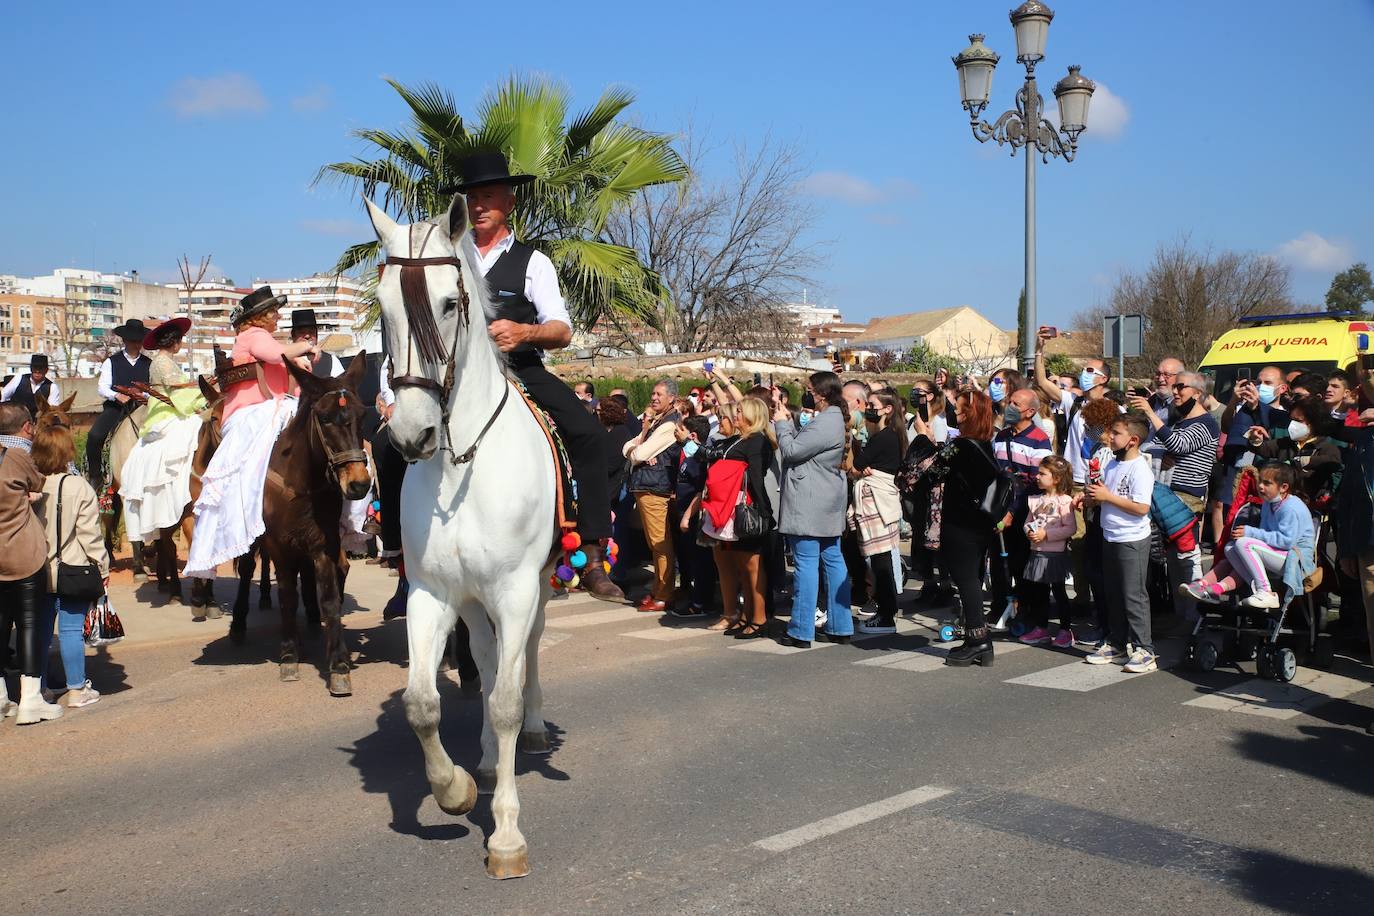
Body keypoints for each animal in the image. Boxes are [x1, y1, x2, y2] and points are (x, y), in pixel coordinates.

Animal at [222, 354, 376, 694]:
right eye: (325, 418)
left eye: (361, 414)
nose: (359, 484)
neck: (303, 482)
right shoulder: (280, 547)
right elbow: (287, 597)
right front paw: (289, 655)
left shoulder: (323, 543)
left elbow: (330, 598)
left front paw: (338, 664)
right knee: (247, 570)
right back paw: (239, 624)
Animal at [370, 195, 557, 878]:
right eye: (383, 307)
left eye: (452, 302)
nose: (411, 435)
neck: (460, 463)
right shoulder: (432, 592)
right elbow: (422, 703)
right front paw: (453, 789)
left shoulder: (516, 588)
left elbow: (503, 701)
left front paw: (505, 835)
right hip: (474, 601)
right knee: (486, 654)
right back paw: (479, 758)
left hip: (534, 589)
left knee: (526, 655)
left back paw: (532, 729)